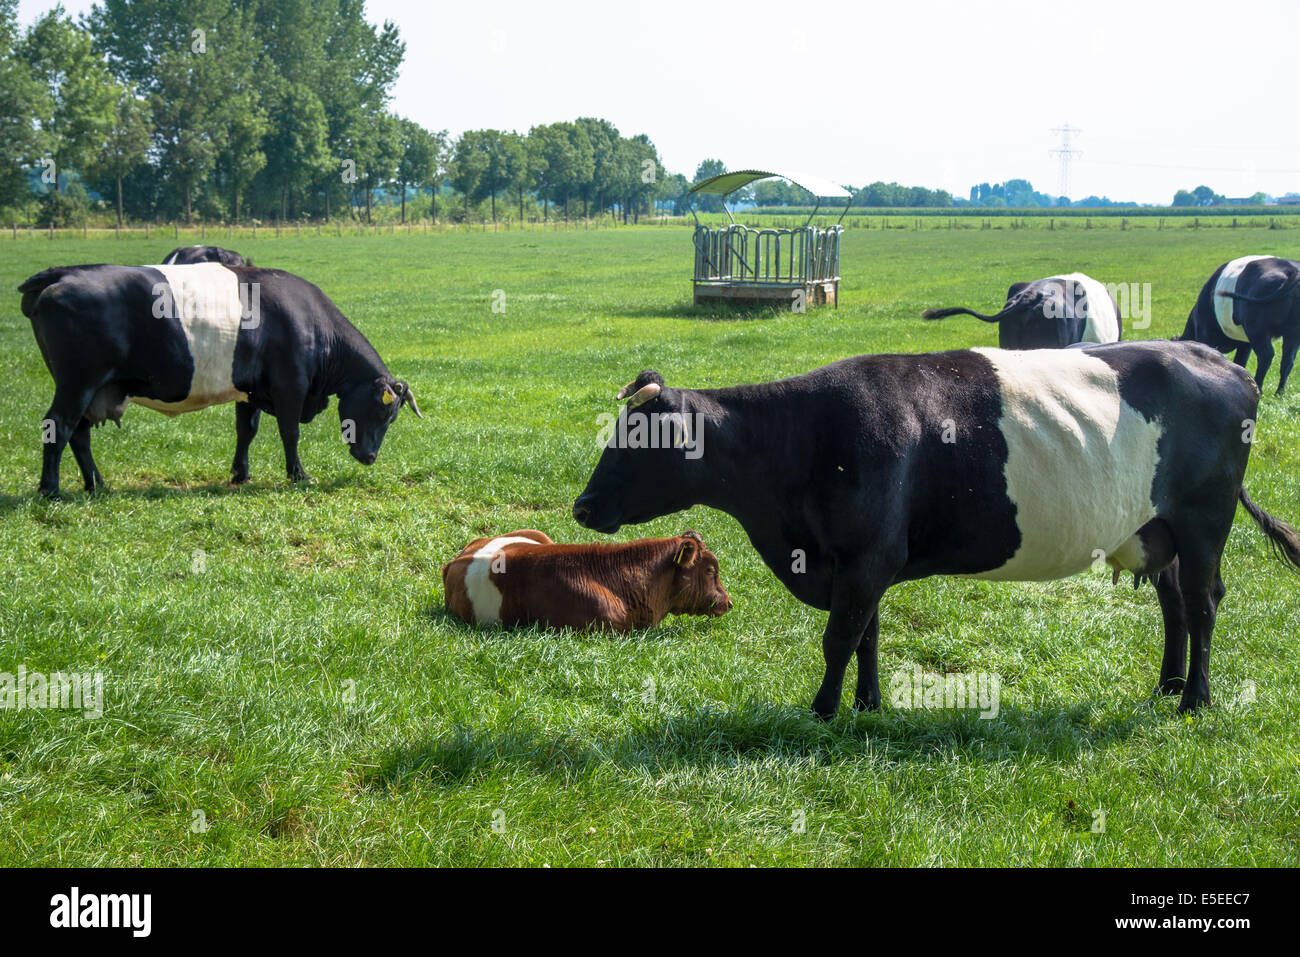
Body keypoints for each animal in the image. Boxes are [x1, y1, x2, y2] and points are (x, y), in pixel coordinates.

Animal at [16, 263, 421, 501]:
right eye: (382, 412)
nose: (370, 457)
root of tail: (61, 274)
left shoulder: (250, 390)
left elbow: (247, 431)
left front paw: (240, 474)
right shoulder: (291, 386)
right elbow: (289, 433)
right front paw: (299, 475)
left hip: (90, 388)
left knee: (79, 434)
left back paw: (96, 484)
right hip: (78, 383)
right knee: (59, 426)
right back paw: (50, 490)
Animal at [577, 343, 1300, 717]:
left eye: (637, 440)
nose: (581, 506)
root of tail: (1214, 356)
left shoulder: (868, 555)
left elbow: (839, 637)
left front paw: (821, 711)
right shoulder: (861, 559)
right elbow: (866, 636)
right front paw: (867, 706)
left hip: (1203, 520)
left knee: (1203, 603)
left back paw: (1195, 700)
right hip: (1156, 529)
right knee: (1175, 603)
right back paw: (1167, 685)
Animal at [1180, 254, 1300, 395]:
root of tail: (1291, 270)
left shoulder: (1204, 334)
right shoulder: (1245, 343)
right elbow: (1240, 361)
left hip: (1256, 329)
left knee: (1266, 355)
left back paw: (1259, 388)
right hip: (1292, 332)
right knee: (1288, 360)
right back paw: (1279, 392)